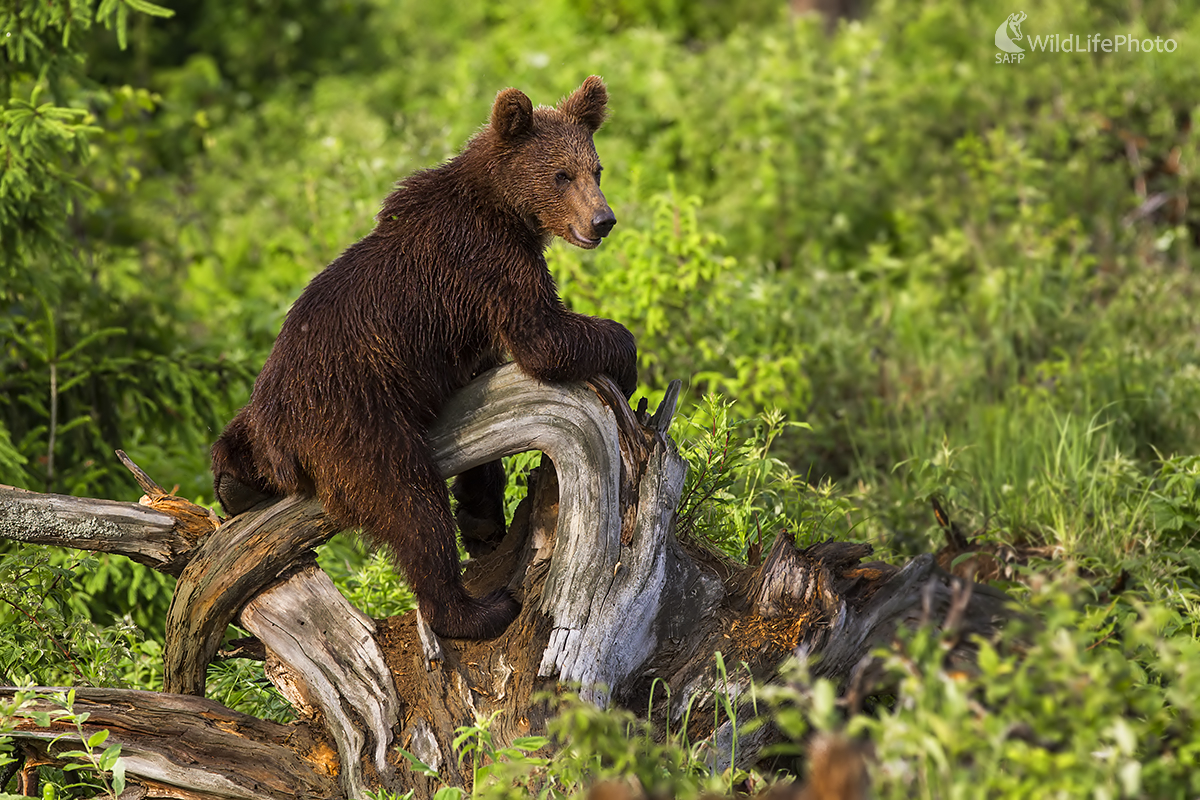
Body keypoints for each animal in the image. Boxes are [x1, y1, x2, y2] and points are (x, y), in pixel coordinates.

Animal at [208, 73, 638, 638]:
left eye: (597, 169)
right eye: (561, 174)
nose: (602, 219)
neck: (504, 208)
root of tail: (285, 439)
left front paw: (483, 518)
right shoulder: (488, 260)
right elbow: (542, 338)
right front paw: (626, 354)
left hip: (274, 402)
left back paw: (234, 483)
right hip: (356, 422)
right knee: (412, 506)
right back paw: (475, 610)